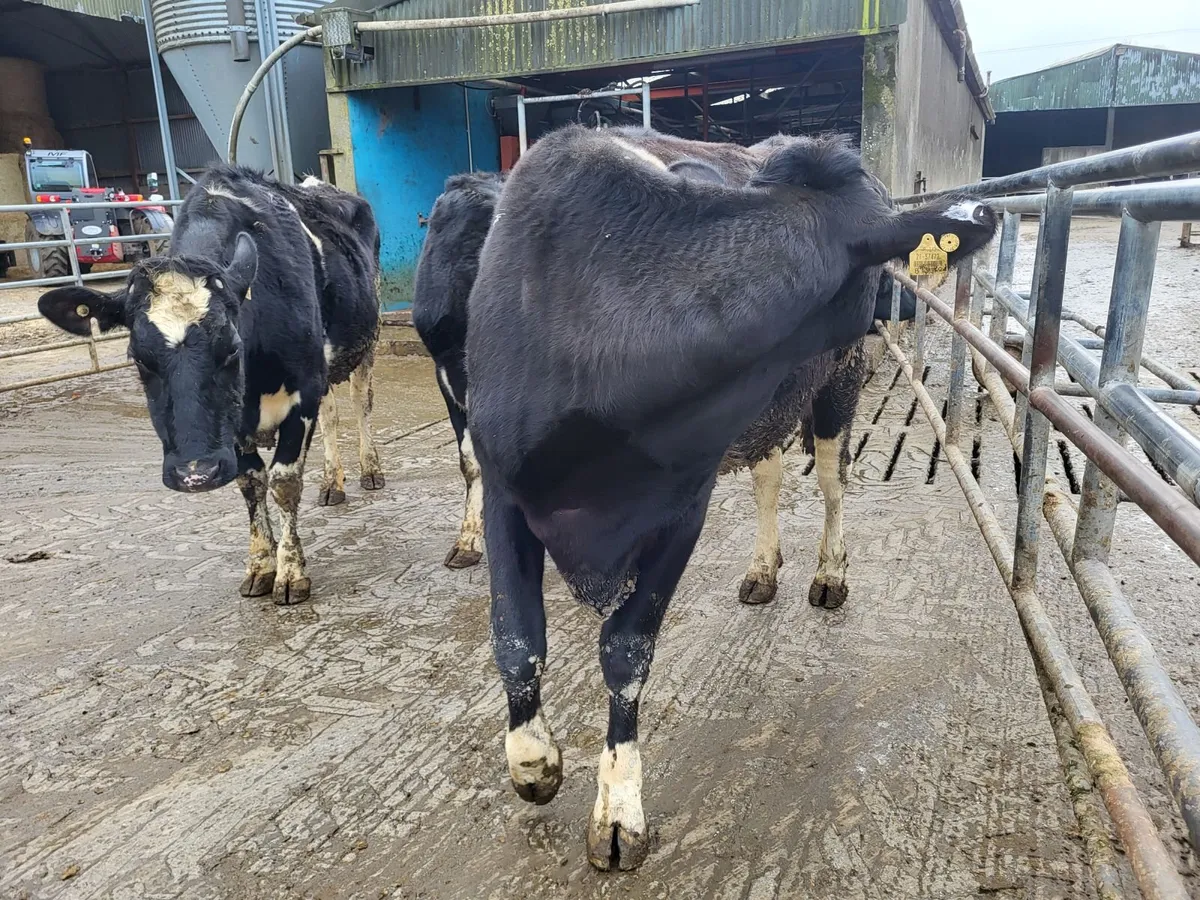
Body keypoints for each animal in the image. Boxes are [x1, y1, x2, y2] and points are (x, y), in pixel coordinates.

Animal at [36, 166, 384, 605]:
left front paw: (291, 573)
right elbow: (251, 483)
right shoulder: (233, 427)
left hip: (367, 338)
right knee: (333, 415)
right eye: (138, 357)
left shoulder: (304, 389)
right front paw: (261, 565)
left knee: (361, 402)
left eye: (232, 347)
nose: (194, 474)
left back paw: (370, 469)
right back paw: (331, 482)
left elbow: (284, 482)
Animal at [464, 125, 997, 871]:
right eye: (882, 271)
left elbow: (625, 649)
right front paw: (533, 762)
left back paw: (830, 572)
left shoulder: (681, 504)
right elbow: (515, 637)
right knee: (770, 477)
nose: (906, 304)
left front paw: (619, 810)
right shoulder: (502, 488)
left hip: (836, 386)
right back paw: (763, 569)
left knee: (831, 479)